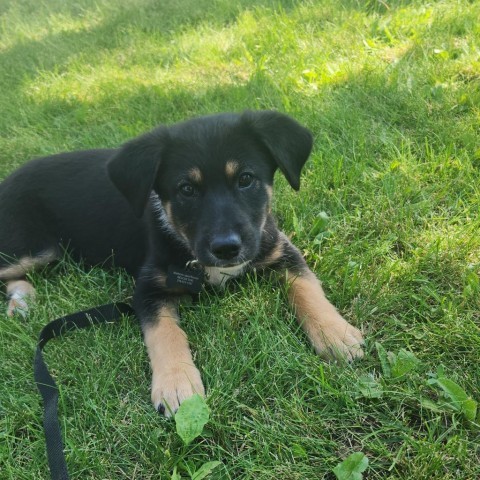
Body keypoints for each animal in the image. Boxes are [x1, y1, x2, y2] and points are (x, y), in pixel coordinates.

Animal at [0, 110, 362, 414]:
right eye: (186, 189)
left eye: (246, 179)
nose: (226, 249)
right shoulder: (147, 288)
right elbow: (164, 333)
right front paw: (177, 383)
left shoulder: (280, 250)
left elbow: (307, 287)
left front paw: (335, 335)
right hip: (32, 246)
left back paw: (21, 300)